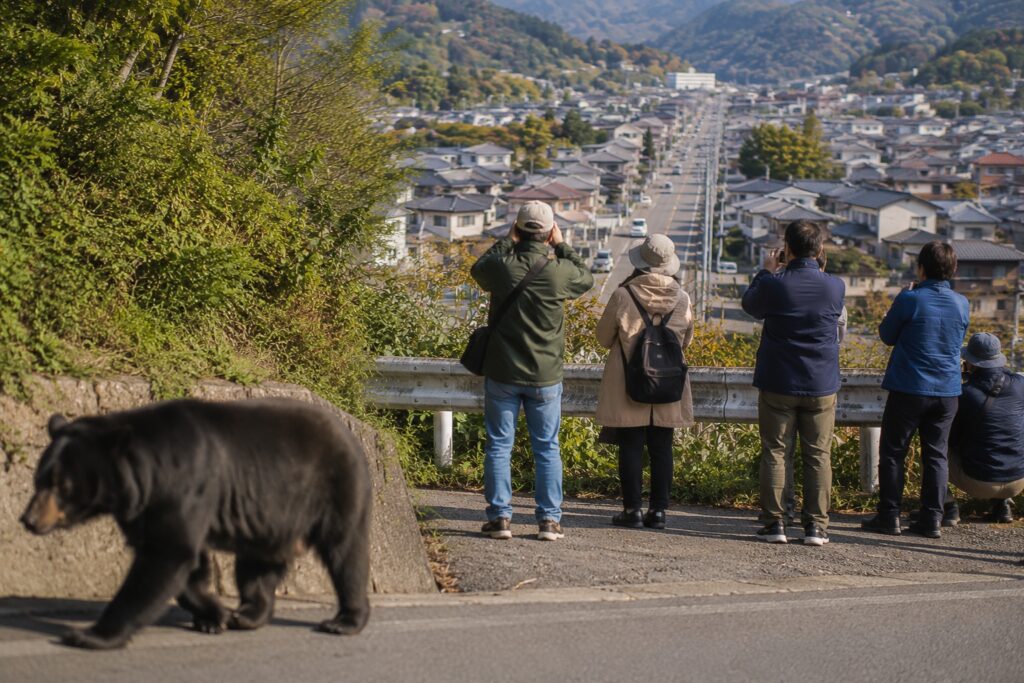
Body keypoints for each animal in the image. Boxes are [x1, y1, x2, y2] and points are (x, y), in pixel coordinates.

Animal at [20, 397, 371, 650]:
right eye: (38, 479)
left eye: (61, 485)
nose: (28, 519)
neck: (148, 473)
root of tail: (349, 431)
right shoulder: (142, 509)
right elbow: (185, 562)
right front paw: (214, 615)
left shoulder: (187, 486)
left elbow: (166, 556)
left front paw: (90, 635)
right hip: (271, 518)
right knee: (256, 567)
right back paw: (247, 614)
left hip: (337, 488)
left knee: (346, 553)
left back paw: (344, 620)